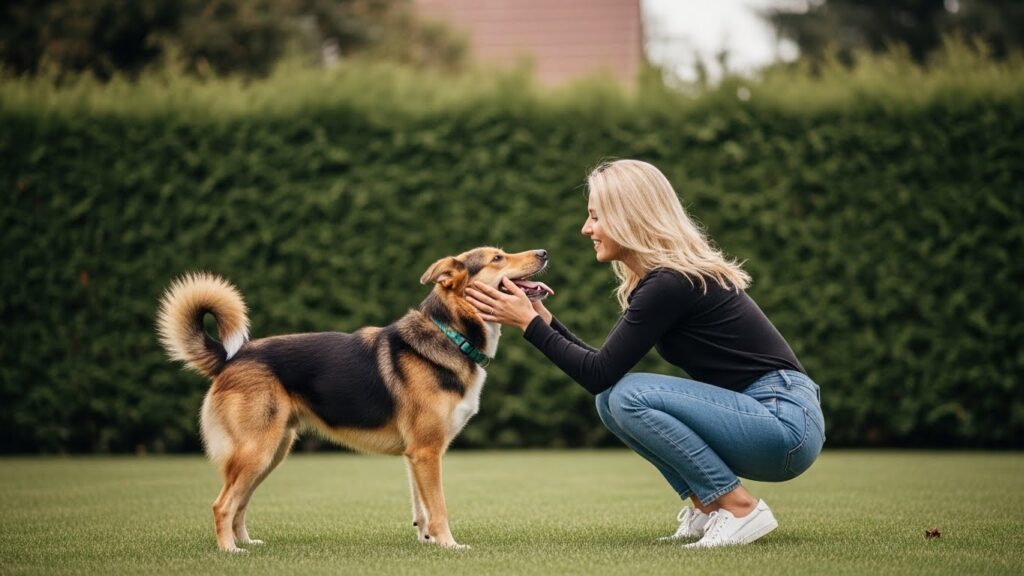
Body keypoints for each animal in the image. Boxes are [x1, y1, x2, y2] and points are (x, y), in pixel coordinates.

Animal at [156, 247, 551, 552]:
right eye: (498, 257)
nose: (544, 252)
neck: (451, 333)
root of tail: (230, 357)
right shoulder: (426, 451)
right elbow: (438, 508)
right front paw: (450, 545)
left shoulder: (416, 455)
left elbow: (422, 508)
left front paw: (428, 542)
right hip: (256, 451)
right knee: (222, 505)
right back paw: (229, 551)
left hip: (271, 452)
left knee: (239, 503)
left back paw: (245, 543)